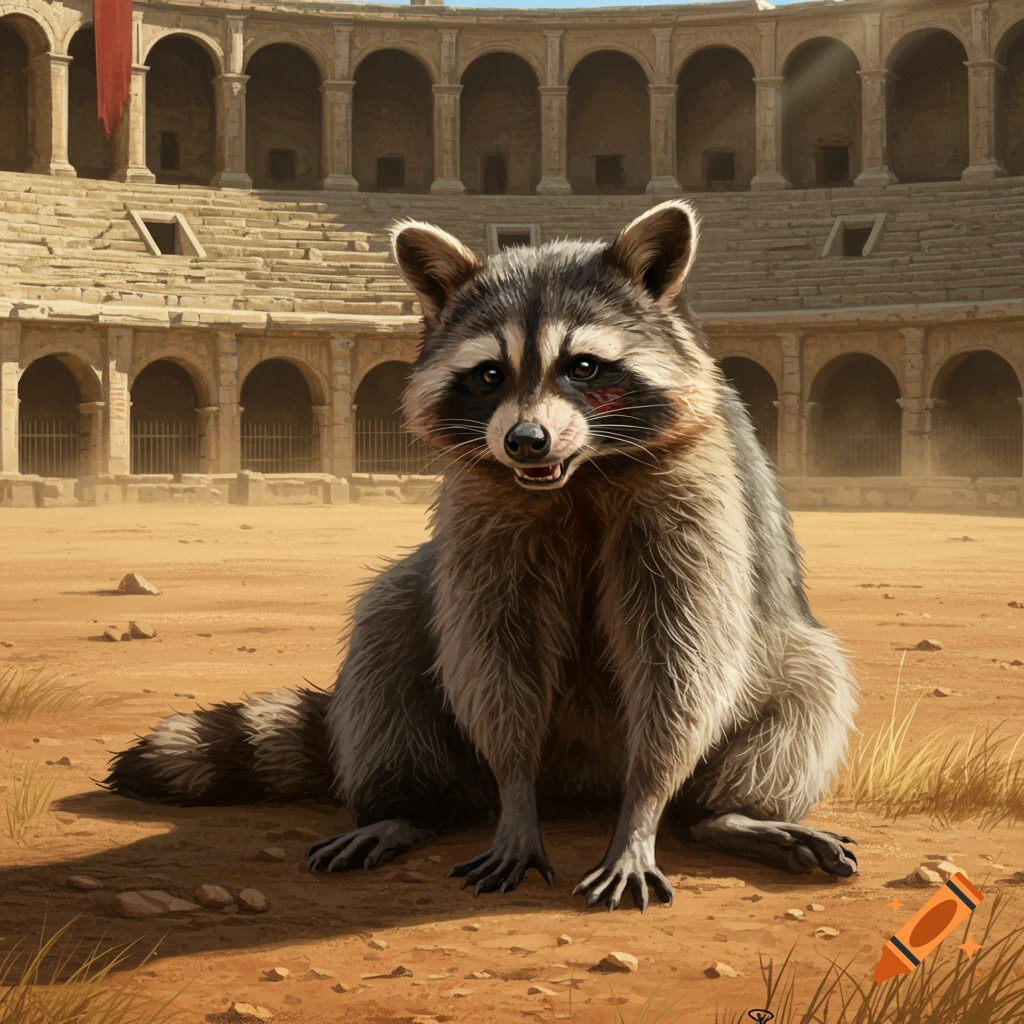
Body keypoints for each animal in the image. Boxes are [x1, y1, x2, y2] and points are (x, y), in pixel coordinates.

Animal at [105, 200, 858, 912]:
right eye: (489, 374)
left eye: (583, 367)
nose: (526, 440)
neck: (575, 476)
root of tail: (583, 781)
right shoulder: (484, 515)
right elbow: (497, 657)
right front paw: (516, 801)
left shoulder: (690, 503)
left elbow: (679, 662)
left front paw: (643, 810)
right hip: (423, 638)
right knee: (388, 633)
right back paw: (408, 808)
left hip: (777, 649)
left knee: (808, 683)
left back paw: (725, 813)